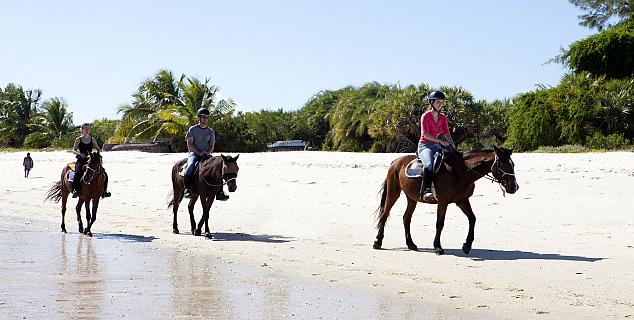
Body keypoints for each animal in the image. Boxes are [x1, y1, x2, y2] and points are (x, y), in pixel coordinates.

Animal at [372, 146, 516, 255]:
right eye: (502, 163)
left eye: (512, 164)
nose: (514, 187)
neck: (461, 172)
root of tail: (395, 162)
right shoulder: (443, 202)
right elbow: (440, 224)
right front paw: (438, 247)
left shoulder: (462, 200)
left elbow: (472, 219)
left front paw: (467, 245)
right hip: (393, 192)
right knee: (385, 214)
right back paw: (378, 242)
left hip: (411, 198)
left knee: (406, 218)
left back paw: (411, 244)